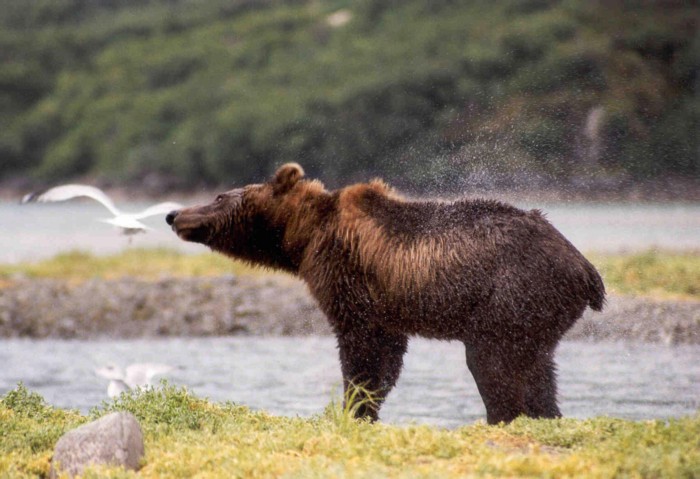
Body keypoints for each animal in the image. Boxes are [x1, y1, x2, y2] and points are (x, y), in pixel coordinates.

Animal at [167, 164, 604, 424]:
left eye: (220, 196)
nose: (174, 214)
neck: (305, 237)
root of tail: (585, 269)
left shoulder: (349, 278)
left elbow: (363, 352)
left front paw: (353, 409)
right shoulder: (385, 305)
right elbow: (387, 357)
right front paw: (364, 408)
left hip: (513, 293)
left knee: (493, 361)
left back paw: (502, 416)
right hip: (540, 312)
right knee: (539, 367)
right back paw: (545, 414)